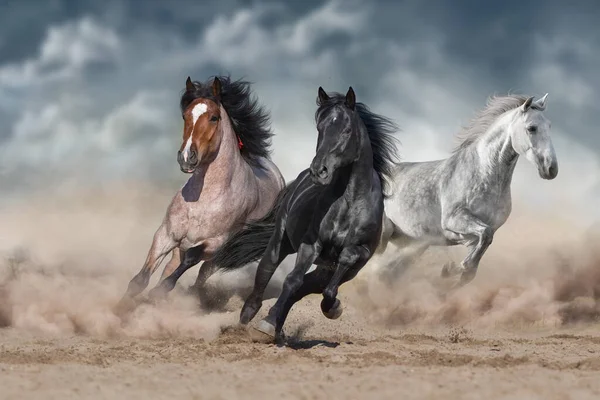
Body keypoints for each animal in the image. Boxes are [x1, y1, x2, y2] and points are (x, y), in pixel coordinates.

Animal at [119, 75, 286, 308]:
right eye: (185, 115)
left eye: (214, 118)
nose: (186, 157)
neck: (202, 200)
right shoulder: (166, 234)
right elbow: (140, 280)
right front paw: (119, 309)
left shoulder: (216, 243)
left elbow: (192, 258)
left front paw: (160, 291)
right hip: (180, 247)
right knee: (173, 266)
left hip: (220, 254)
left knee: (201, 274)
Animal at [209, 86, 400, 340]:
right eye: (320, 128)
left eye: (347, 130)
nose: (319, 171)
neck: (349, 203)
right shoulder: (311, 244)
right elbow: (292, 280)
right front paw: (266, 324)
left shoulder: (361, 253)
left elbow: (333, 279)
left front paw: (333, 308)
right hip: (280, 242)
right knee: (266, 274)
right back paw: (249, 322)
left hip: (331, 270)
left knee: (311, 287)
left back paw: (280, 327)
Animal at [380, 93, 556, 288]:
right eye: (532, 128)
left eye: (549, 126)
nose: (551, 169)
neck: (482, 173)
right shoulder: (455, 220)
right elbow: (484, 237)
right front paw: (453, 269)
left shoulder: (474, 235)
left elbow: (477, 257)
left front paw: (452, 272)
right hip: (383, 236)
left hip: (412, 244)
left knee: (387, 273)